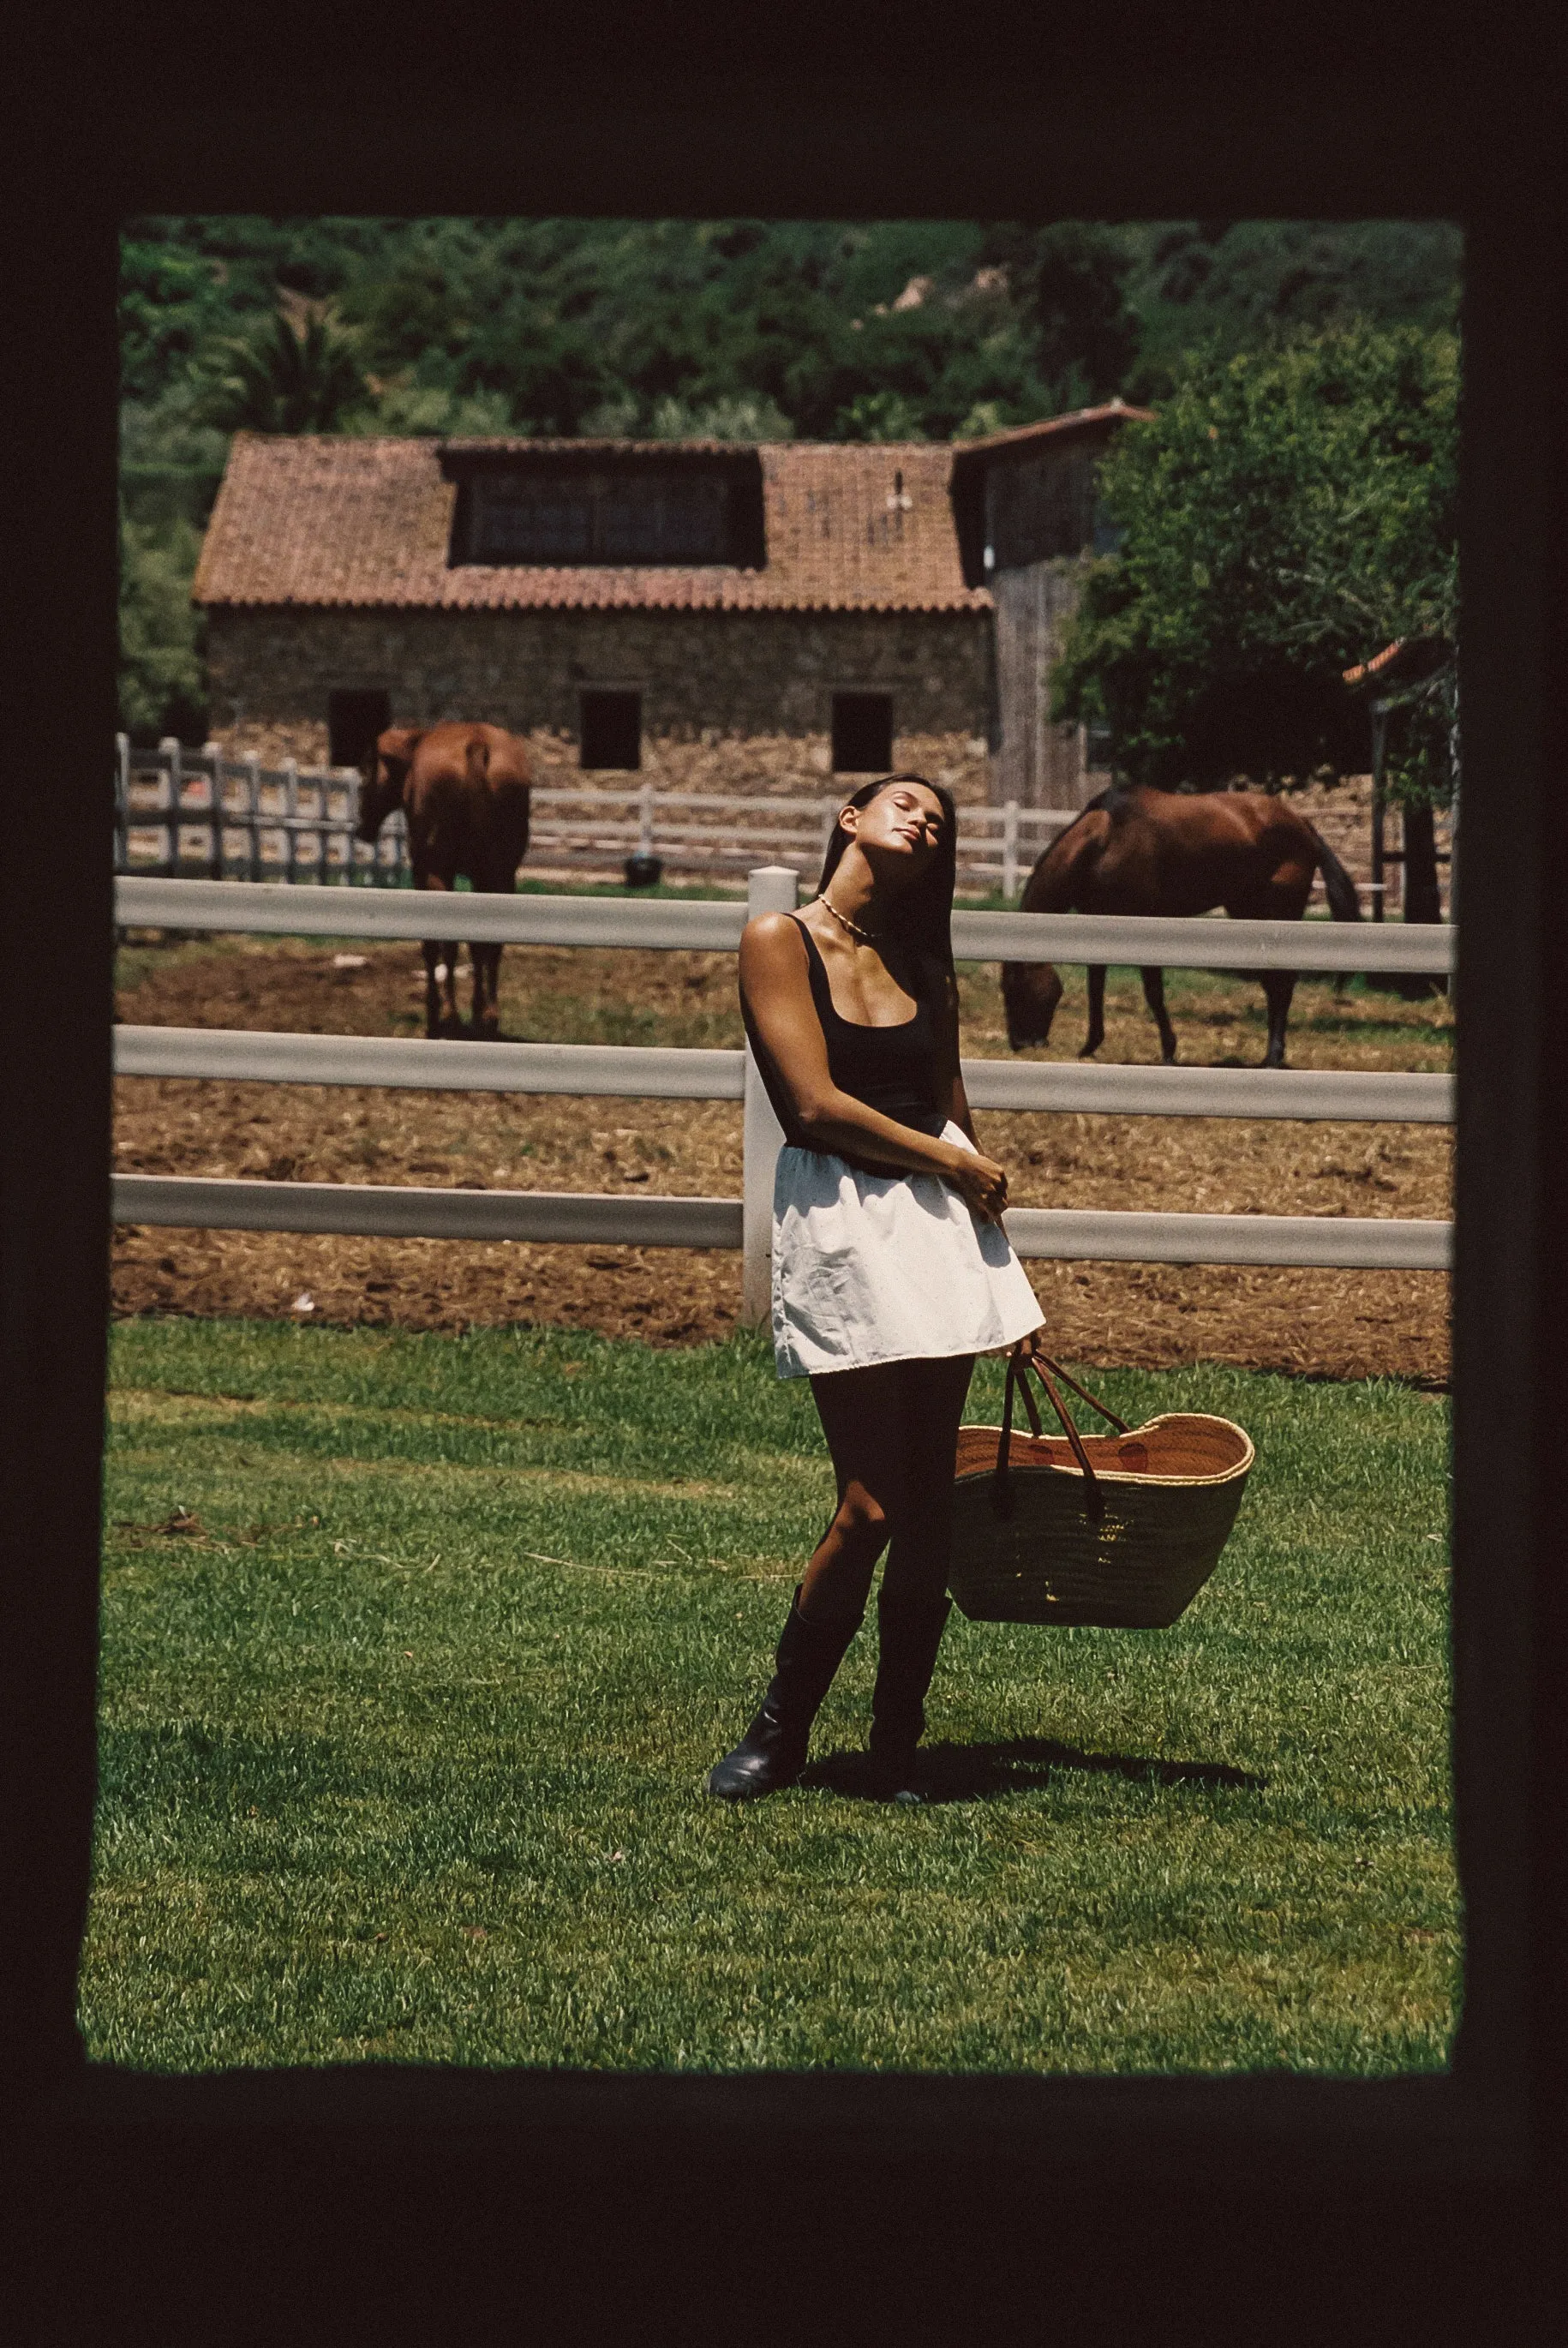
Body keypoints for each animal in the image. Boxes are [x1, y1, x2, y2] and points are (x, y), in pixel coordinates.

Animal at [356, 722, 532, 1038]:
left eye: (366, 770)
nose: (361, 827)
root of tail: (477, 745)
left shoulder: (424, 871)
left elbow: (432, 946)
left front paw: (436, 1013)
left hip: (442, 873)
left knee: (448, 944)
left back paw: (451, 1016)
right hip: (499, 875)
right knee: (491, 944)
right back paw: (487, 1018)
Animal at [1004, 779, 1361, 1075]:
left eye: (1015, 988)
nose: (1019, 1042)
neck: (1103, 844)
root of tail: (1304, 824)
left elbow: (1153, 994)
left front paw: (1169, 1051)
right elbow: (1096, 988)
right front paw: (1090, 1045)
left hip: (1277, 916)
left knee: (1282, 983)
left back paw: (1273, 1057)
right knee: (1274, 984)